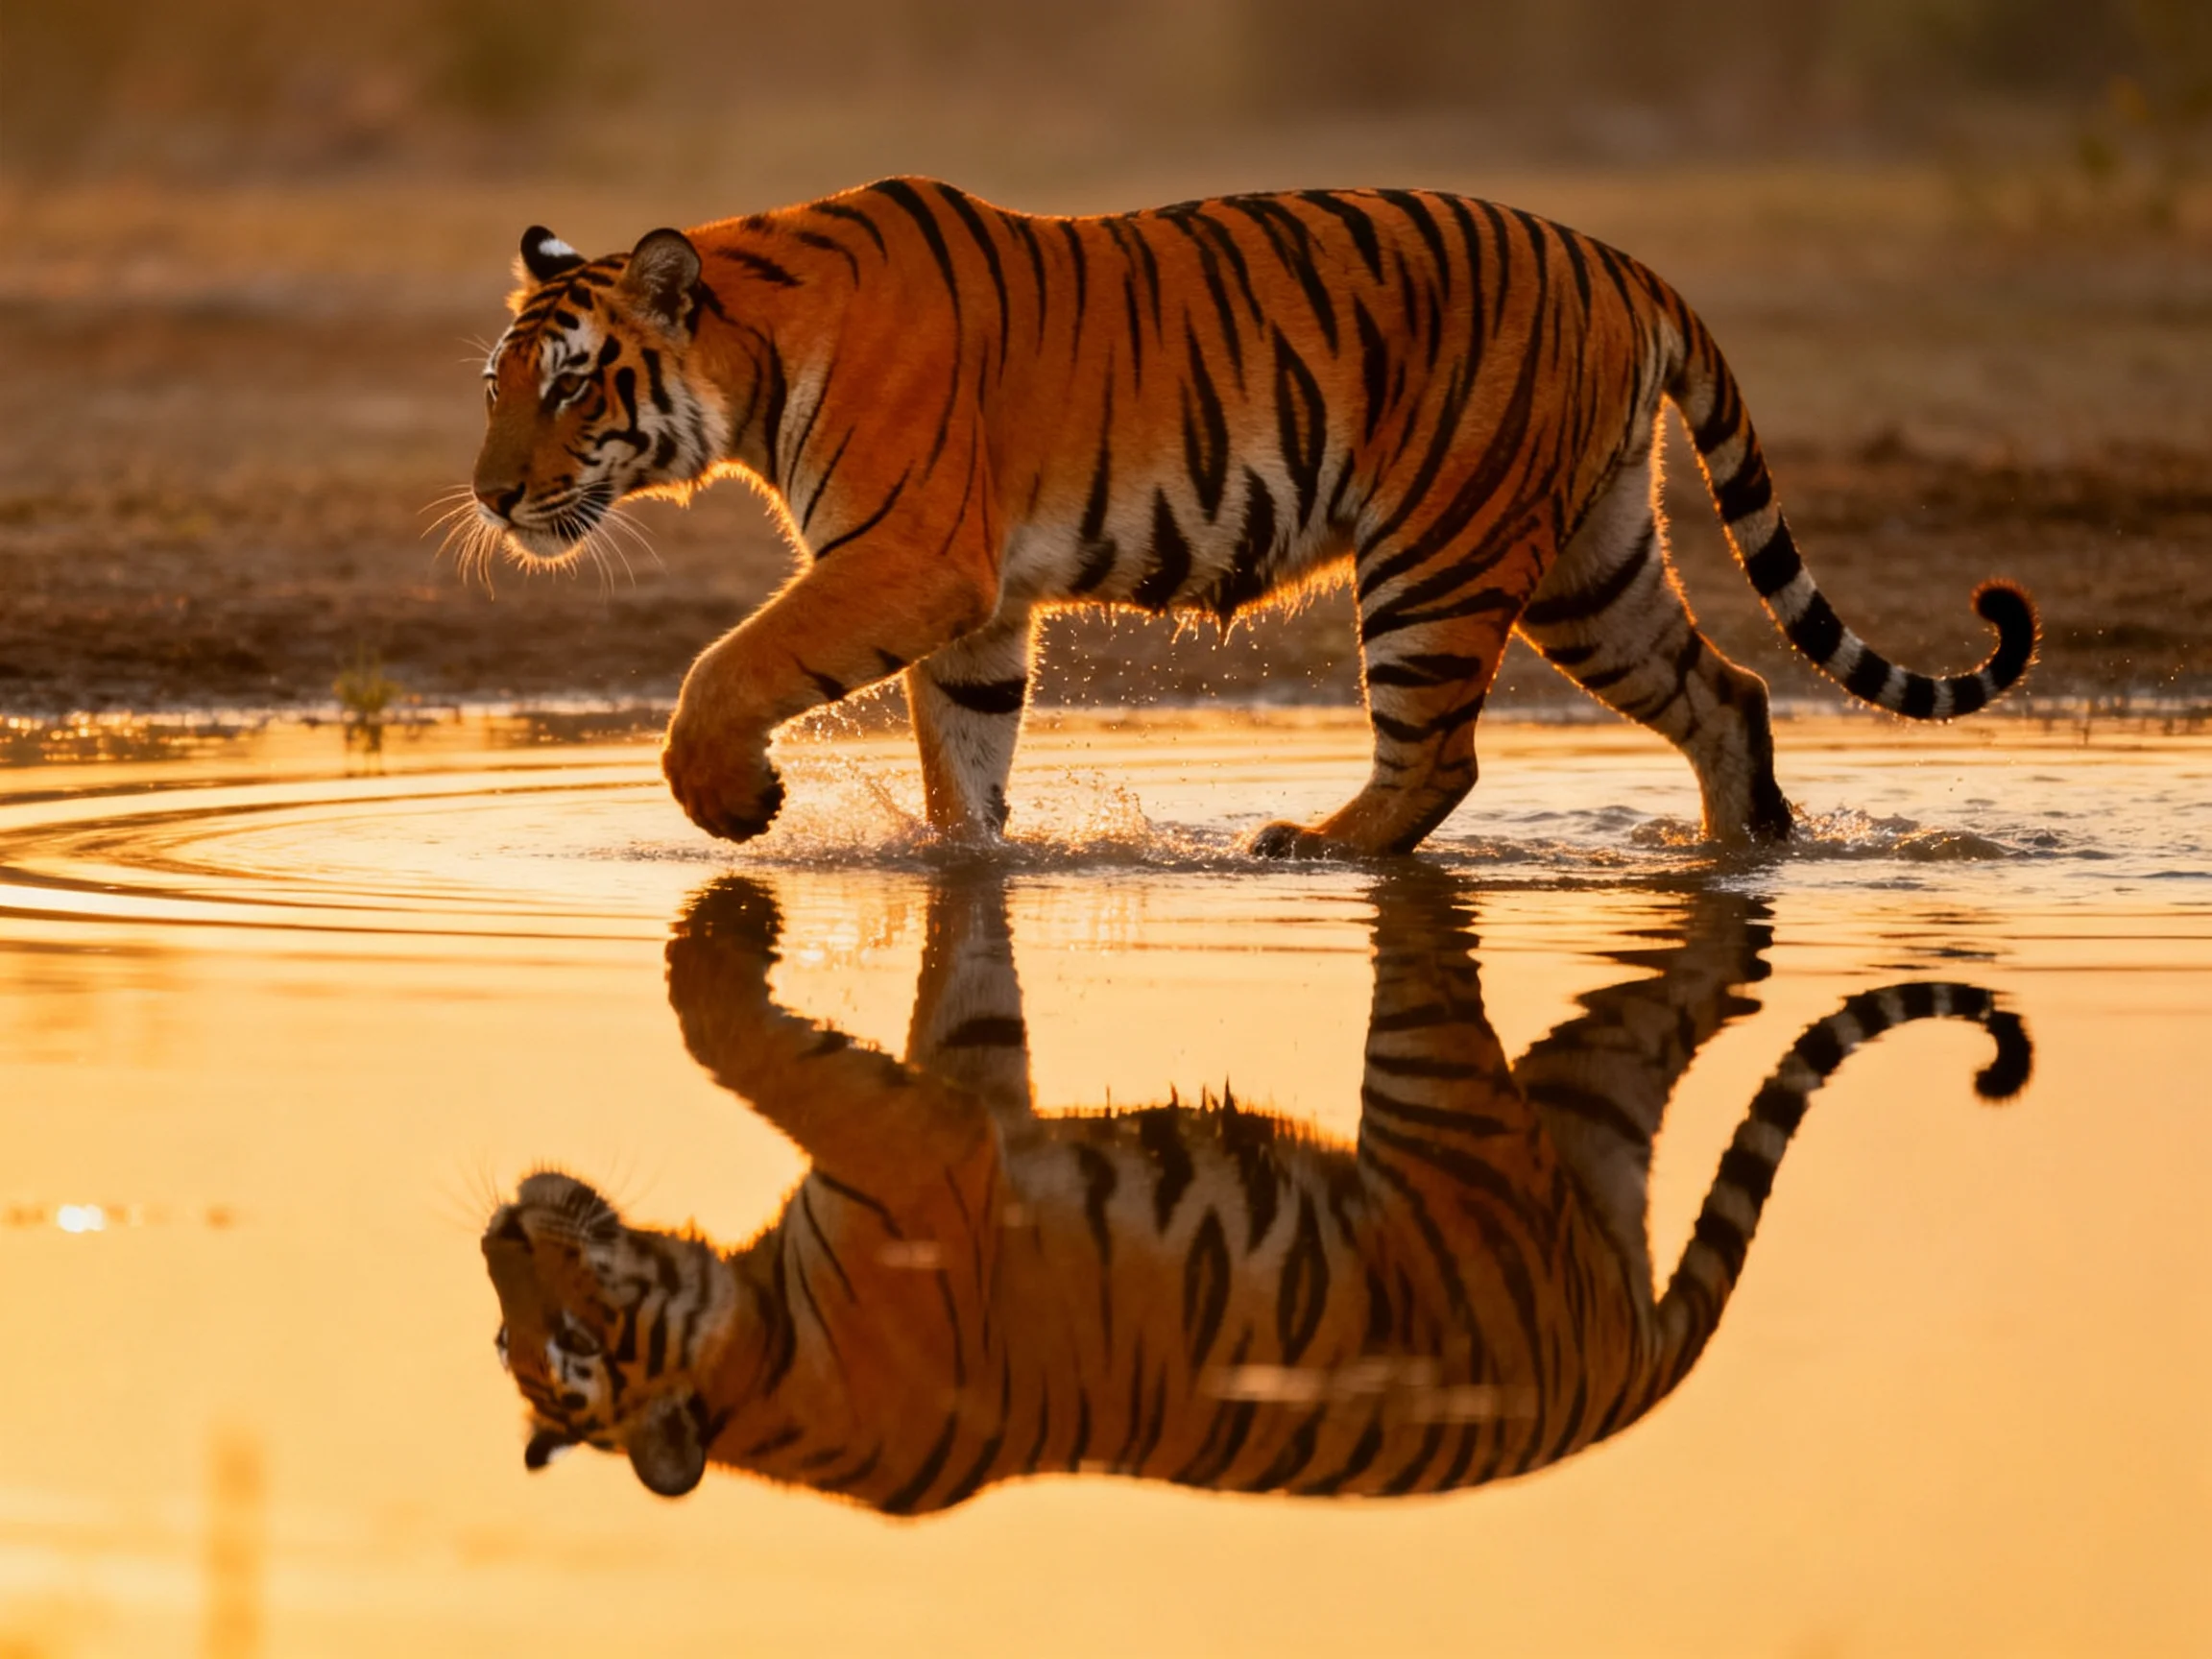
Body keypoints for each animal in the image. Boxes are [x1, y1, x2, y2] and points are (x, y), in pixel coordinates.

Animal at [466, 180, 2039, 857]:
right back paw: (1748, 850)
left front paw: (733, 802)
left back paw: (1310, 847)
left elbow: (725, 667)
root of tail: (1624, 262)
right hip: (1592, 565)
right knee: (1729, 693)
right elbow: (962, 758)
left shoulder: (910, 558)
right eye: (496, 387)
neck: (751, 354)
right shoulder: (975, 604)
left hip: (1438, 556)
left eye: (568, 387)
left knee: (1442, 757)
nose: (490, 495)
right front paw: (969, 865)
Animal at [481, 873, 2031, 1507]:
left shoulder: (925, 1160)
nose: (499, 1224)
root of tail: (1625, 1391)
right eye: (506, 1337)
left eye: (567, 1338)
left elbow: (756, 1042)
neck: (759, 1369)